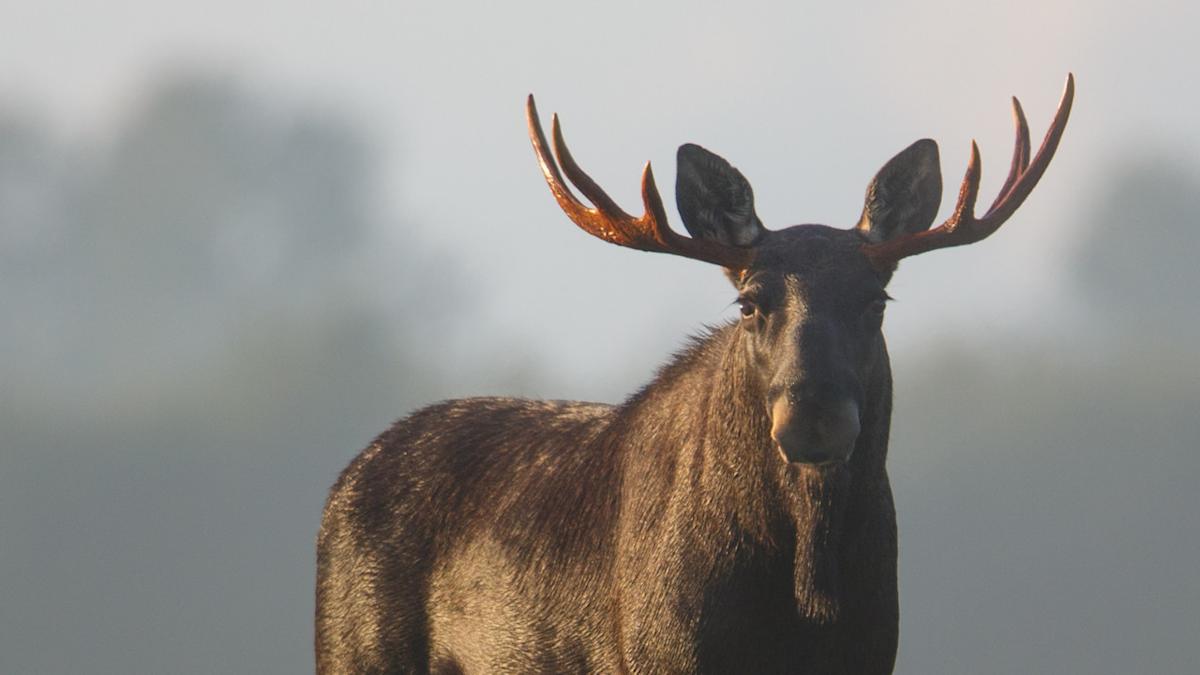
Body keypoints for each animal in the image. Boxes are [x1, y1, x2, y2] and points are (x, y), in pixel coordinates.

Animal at [316, 74, 1074, 674]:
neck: (803, 604)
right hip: (354, 651)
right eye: (749, 302)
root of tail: (341, 485)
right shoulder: (664, 656)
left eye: (876, 299)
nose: (813, 415)